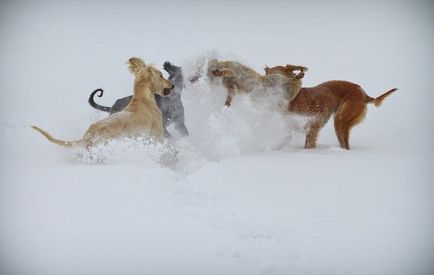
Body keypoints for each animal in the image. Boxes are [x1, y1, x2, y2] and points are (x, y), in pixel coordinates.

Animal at [262, 65, 398, 150]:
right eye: (269, 75)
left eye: (280, 76)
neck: (292, 98)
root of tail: (363, 93)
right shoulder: (290, 128)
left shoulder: (313, 127)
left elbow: (308, 145)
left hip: (340, 120)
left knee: (345, 145)